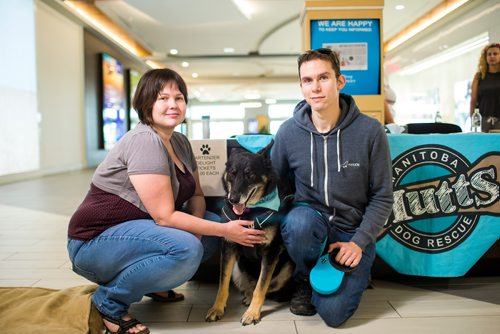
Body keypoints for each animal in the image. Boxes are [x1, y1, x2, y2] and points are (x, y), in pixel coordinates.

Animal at [206, 141, 294, 326]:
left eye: (250, 175)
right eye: (232, 174)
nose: (232, 199)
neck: (249, 213)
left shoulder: (270, 252)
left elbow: (261, 287)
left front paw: (252, 314)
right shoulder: (228, 247)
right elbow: (222, 284)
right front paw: (217, 309)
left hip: (286, 269)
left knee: (266, 287)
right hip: (237, 271)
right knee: (249, 287)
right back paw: (246, 296)